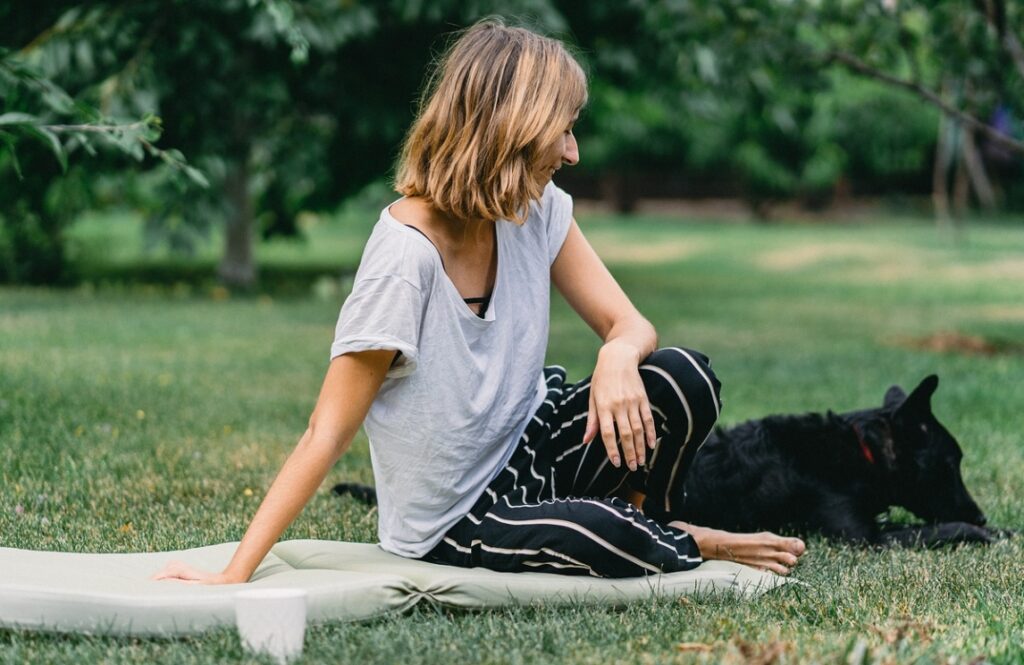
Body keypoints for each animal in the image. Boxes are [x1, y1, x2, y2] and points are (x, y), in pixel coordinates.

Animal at [331, 377, 1003, 549]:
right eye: (951, 462)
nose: (979, 509)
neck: (856, 450)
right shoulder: (861, 537)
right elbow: (928, 527)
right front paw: (984, 530)